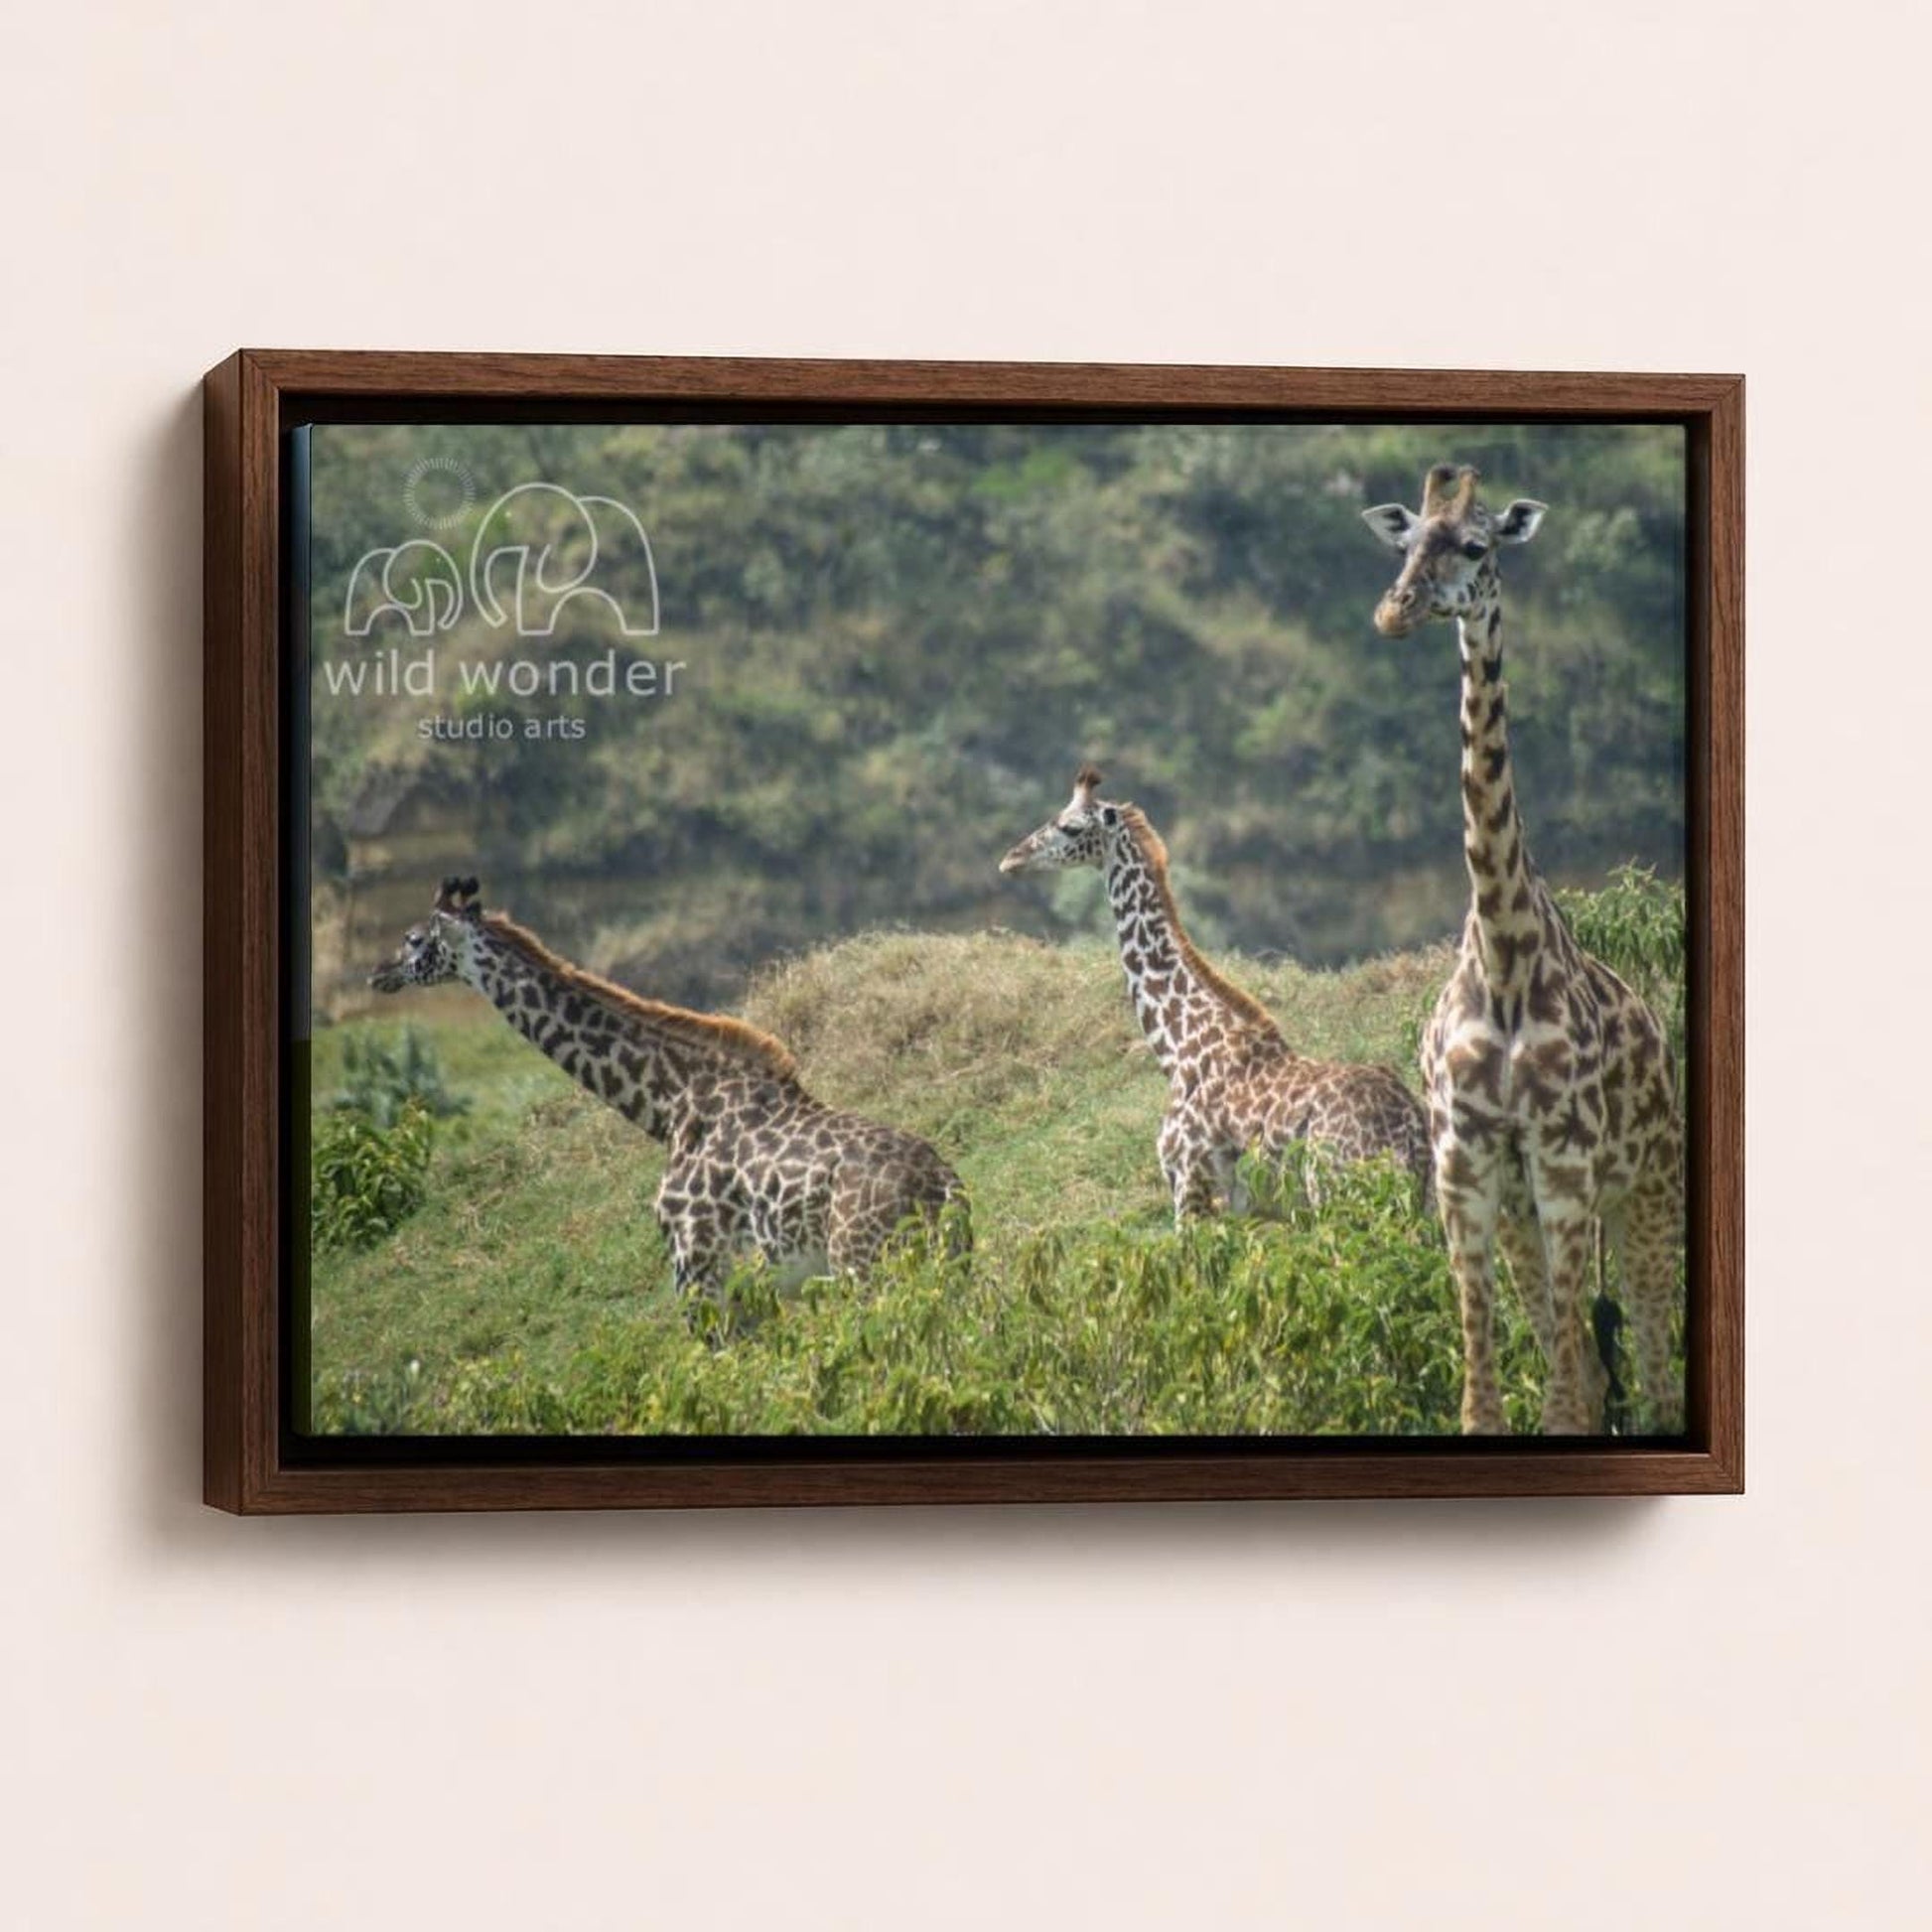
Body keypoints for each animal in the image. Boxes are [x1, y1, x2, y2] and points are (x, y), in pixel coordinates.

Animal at [368, 876, 965, 1295]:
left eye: (414, 939)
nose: (377, 973)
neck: (669, 1102)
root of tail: (941, 1191)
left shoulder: (697, 1271)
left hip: (865, 1270)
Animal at [1000, 767, 1431, 1220]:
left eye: (1070, 827)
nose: (1012, 858)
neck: (1179, 1045)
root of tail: (1411, 1132)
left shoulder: (1189, 1183)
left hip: (1335, 1192)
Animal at [1362, 464, 1684, 1435]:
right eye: (1405, 541)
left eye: (1475, 546)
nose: (1394, 610)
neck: (1503, 953)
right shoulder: (1466, 1166)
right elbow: (1489, 1389)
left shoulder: (1566, 1166)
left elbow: (1571, 1394)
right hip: (1530, 1209)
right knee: (1582, 1349)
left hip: (1647, 1190)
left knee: (1648, 1358)